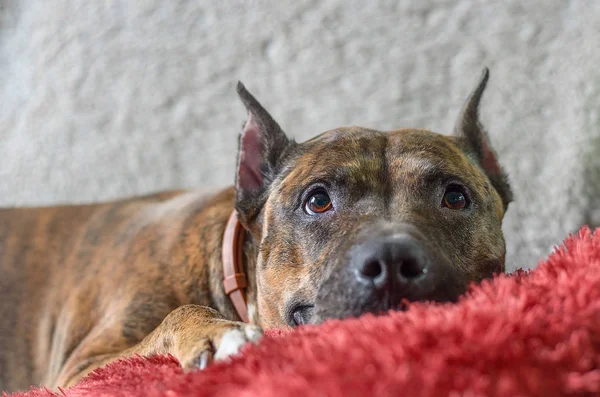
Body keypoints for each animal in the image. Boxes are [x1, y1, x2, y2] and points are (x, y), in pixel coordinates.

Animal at [0, 66, 510, 392]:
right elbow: (175, 317)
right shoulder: (83, 370)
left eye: (455, 197)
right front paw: (214, 333)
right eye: (318, 200)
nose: (391, 259)